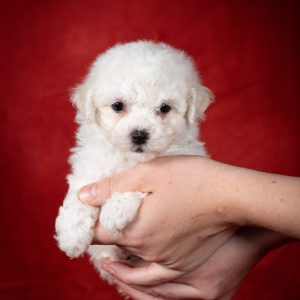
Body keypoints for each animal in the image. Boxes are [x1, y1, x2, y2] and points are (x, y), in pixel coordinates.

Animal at [54, 39, 213, 282]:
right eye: (118, 105)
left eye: (164, 108)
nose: (139, 135)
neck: (130, 157)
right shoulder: (90, 166)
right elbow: (80, 195)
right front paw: (72, 233)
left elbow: (134, 183)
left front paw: (115, 211)